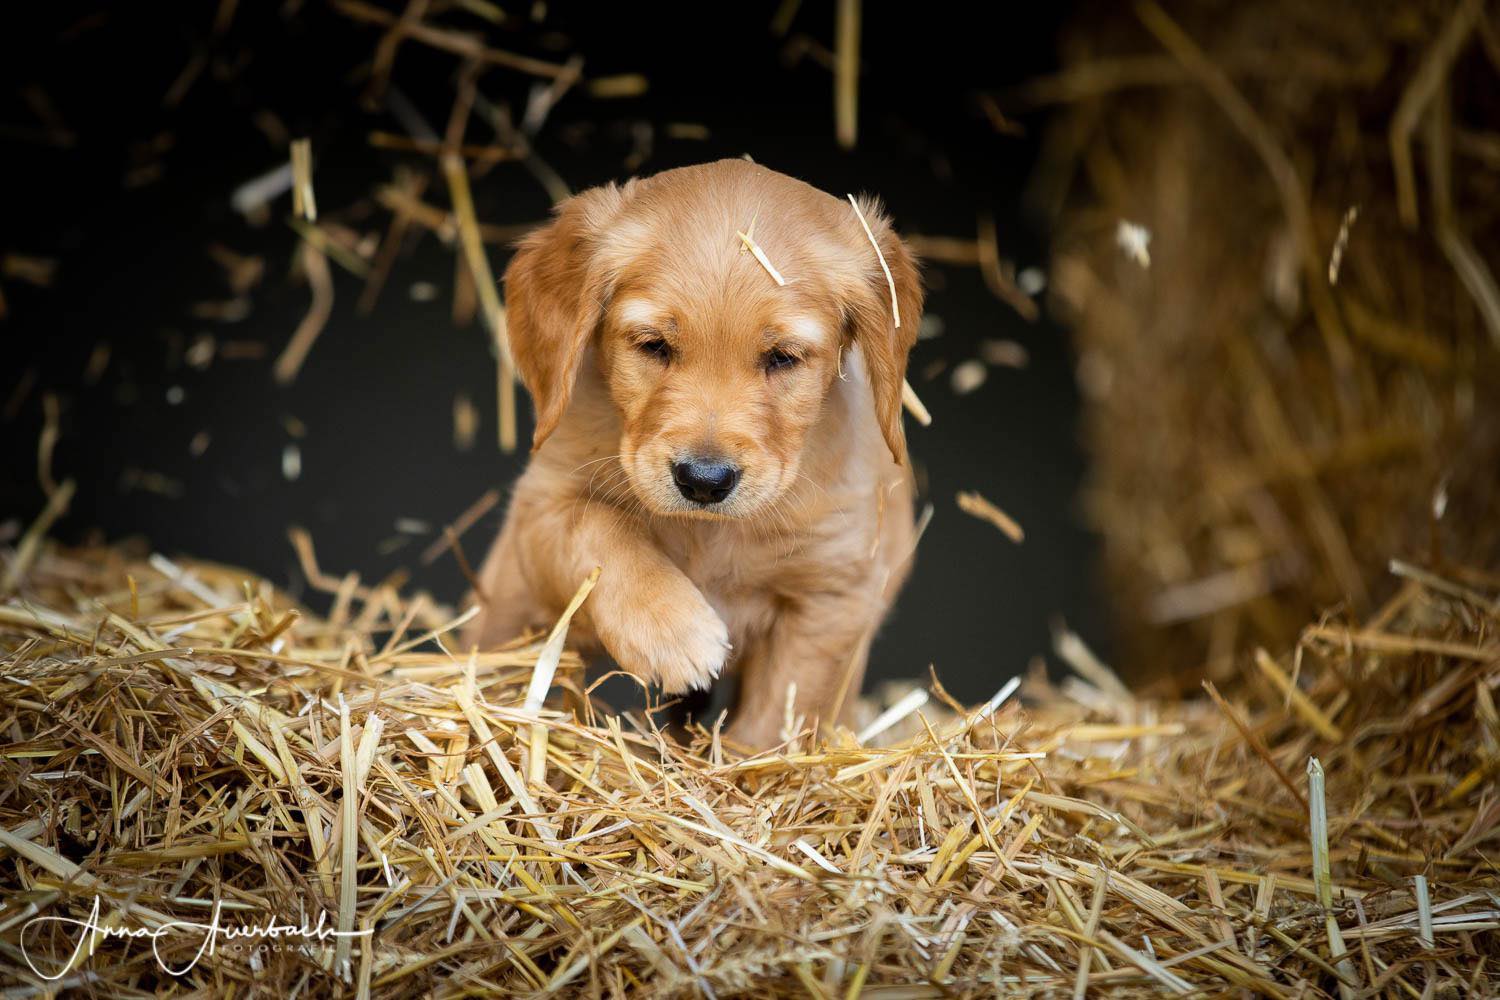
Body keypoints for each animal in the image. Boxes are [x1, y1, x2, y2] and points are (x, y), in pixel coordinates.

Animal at [462, 158, 918, 749]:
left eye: (783, 357)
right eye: (653, 345)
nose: (704, 480)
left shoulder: (834, 593)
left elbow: (782, 710)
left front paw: (749, 766)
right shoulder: (539, 510)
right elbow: (599, 527)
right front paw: (672, 631)